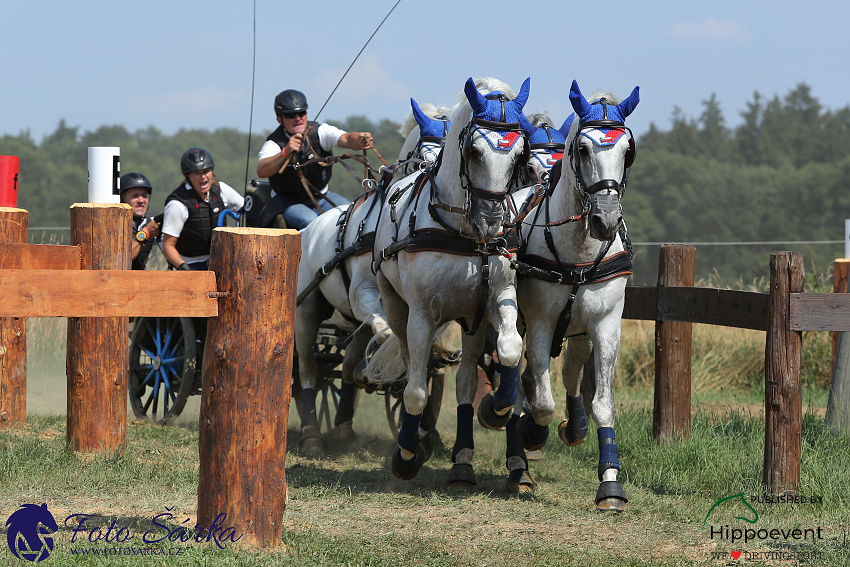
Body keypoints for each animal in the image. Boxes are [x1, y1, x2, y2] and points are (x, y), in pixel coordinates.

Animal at [372, 76, 528, 488]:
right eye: (474, 150)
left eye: (519, 153)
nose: (491, 220)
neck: (464, 235)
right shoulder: (421, 315)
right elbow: (414, 392)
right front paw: (407, 455)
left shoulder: (499, 297)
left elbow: (510, 349)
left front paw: (498, 408)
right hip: (396, 307)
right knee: (412, 368)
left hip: (472, 321)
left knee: (464, 382)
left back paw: (462, 462)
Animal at [510, 80, 636, 510]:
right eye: (581, 148)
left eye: (627, 151)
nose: (606, 220)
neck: (577, 250)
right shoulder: (541, 322)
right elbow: (540, 403)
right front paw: (531, 433)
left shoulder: (606, 325)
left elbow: (603, 403)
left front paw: (610, 484)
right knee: (518, 381)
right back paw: (519, 460)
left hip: (579, 330)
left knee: (568, 372)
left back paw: (574, 426)